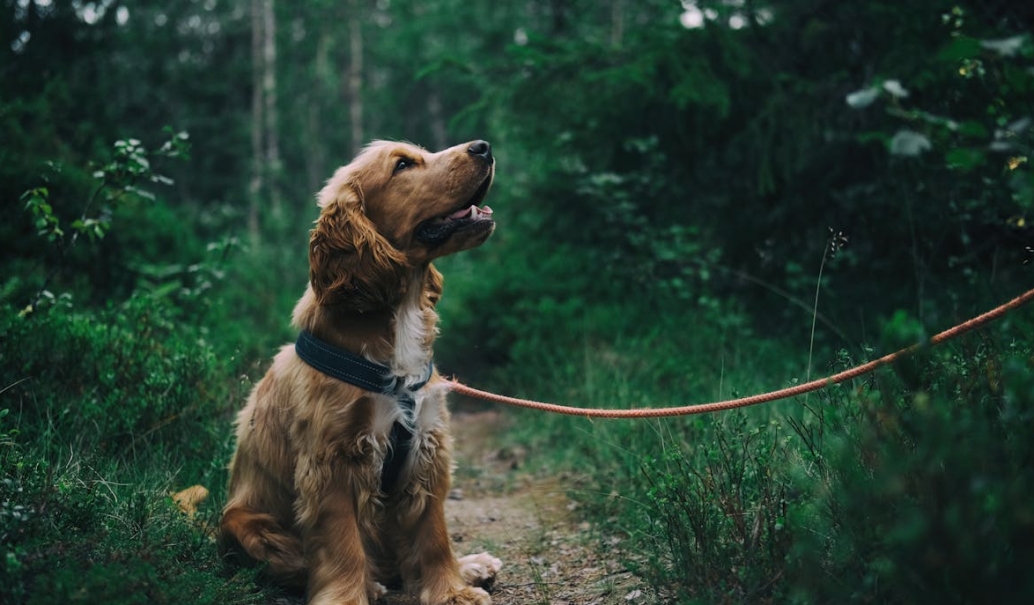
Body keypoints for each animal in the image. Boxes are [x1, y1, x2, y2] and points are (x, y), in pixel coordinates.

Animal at [220, 139, 502, 599]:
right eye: (402, 165)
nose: (483, 146)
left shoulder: (427, 445)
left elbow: (433, 533)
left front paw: (452, 590)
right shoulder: (332, 460)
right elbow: (342, 545)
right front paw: (348, 597)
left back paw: (471, 565)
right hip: (244, 524)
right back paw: (373, 583)